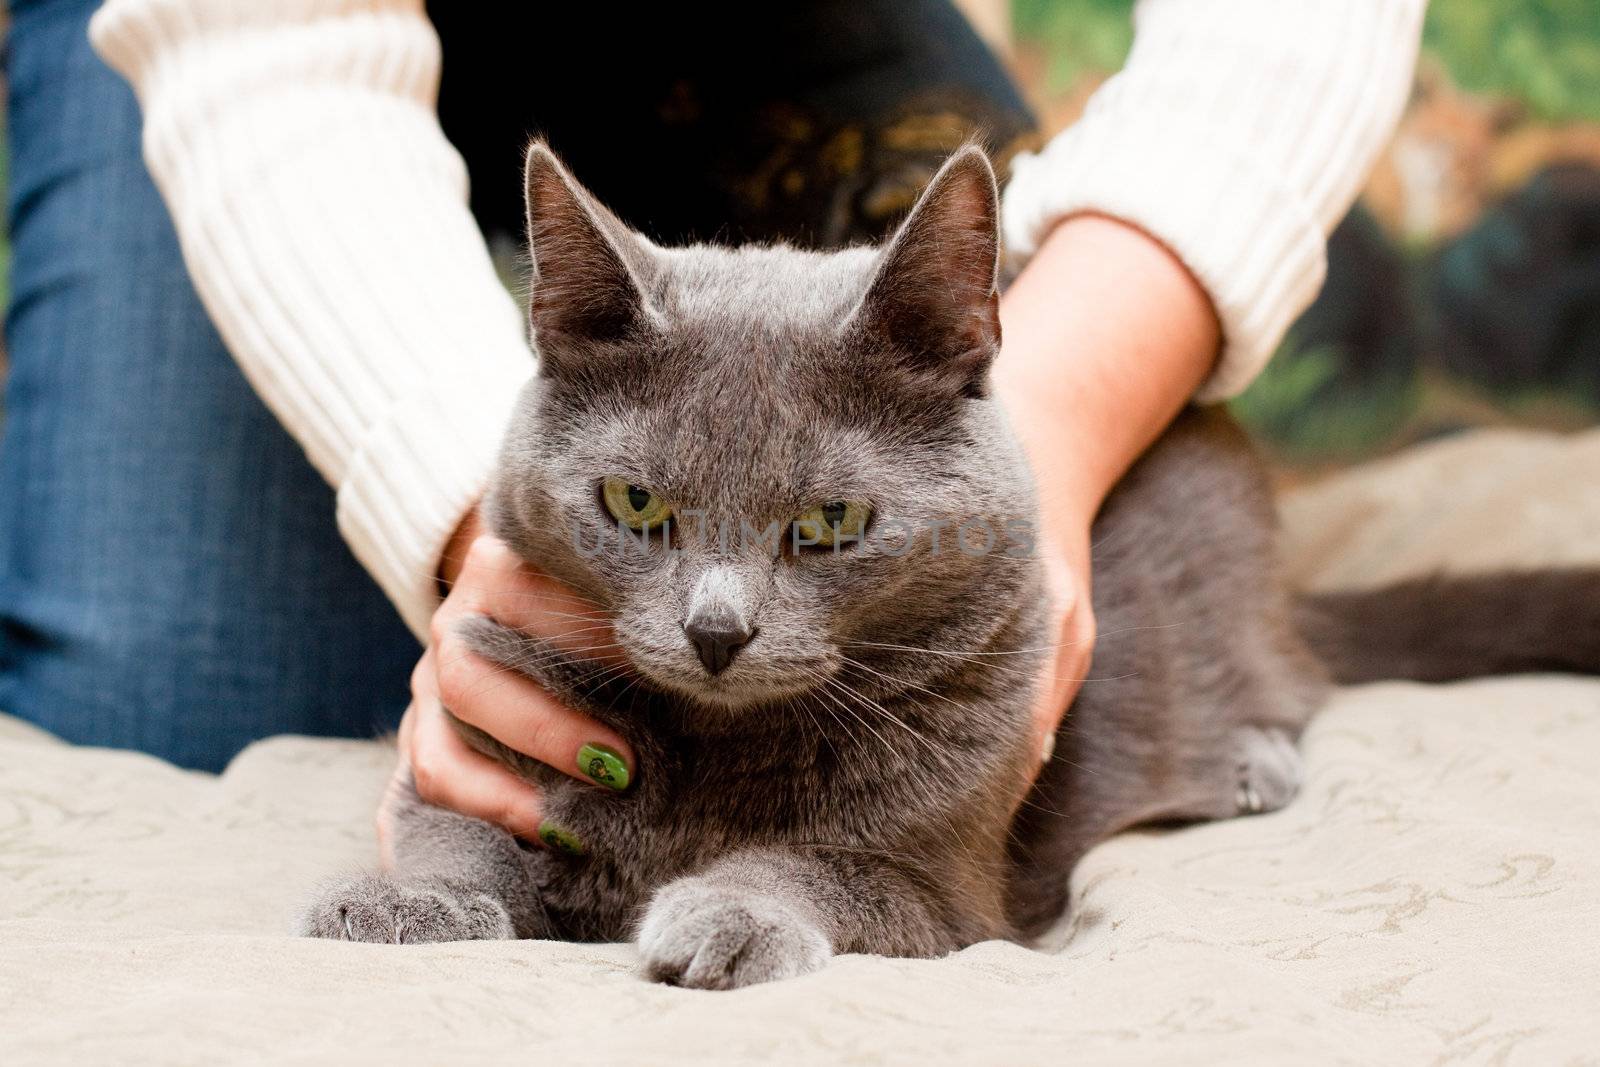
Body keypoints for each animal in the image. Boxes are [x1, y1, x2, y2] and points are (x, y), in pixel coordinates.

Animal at [302, 143, 1600, 991]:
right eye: (634, 503)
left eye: (828, 521)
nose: (717, 630)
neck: (712, 753)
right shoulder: (481, 722)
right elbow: (450, 823)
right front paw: (405, 898)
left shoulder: (950, 890)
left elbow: (824, 868)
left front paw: (728, 910)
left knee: (1285, 679)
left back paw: (1247, 760)